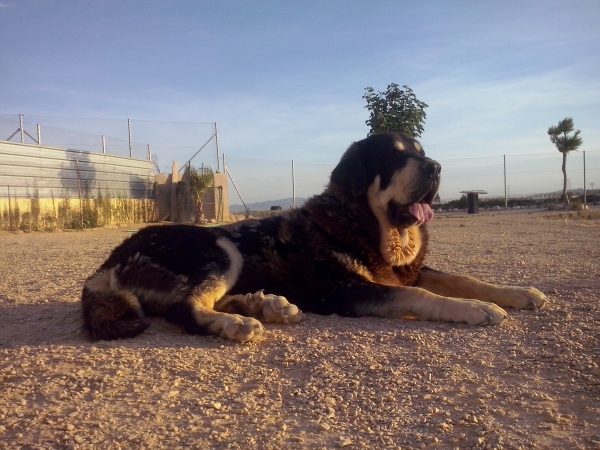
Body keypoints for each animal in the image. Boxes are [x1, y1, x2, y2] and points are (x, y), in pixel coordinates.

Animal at [81, 132, 548, 342]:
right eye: (392, 157)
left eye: (419, 151)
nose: (435, 167)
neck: (363, 223)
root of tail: (107, 262)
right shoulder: (347, 290)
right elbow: (423, 296)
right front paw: (475, 308)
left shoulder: (406, 270)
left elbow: (458, 278)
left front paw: (517, 292)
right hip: (218, 247)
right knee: (184, 307)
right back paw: (236, 321)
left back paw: (265, 304)